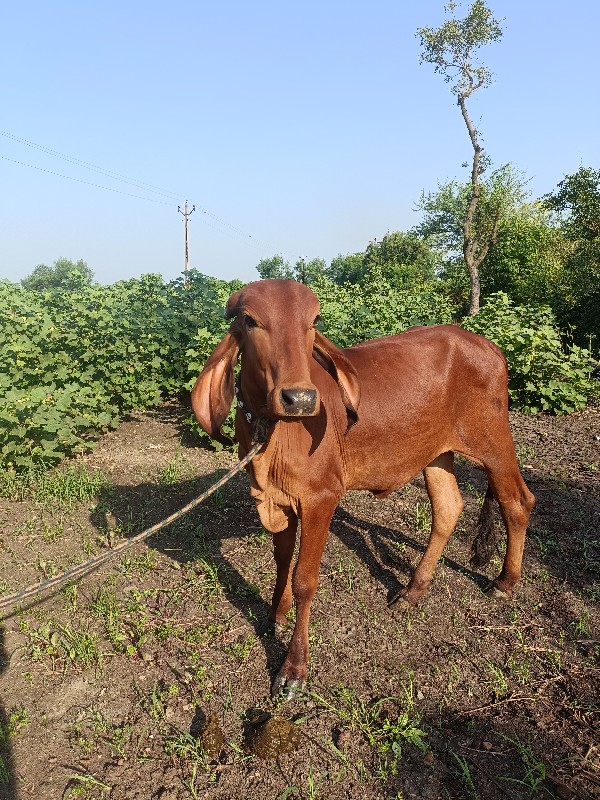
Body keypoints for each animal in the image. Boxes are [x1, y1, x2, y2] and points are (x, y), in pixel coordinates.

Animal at [191, 278, 536, 696]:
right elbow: (281, 559)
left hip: (493, 443)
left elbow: (305, 579)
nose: (300, 398)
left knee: (517, 501)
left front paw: (294, 667)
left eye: (313, 321)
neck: (270, 432)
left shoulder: (321, 498)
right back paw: (414, 589)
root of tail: (489, 346)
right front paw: (275, 613)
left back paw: (505, 582)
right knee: (449, 507)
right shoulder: (278, 498)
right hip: (436, 454)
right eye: (250, 320)